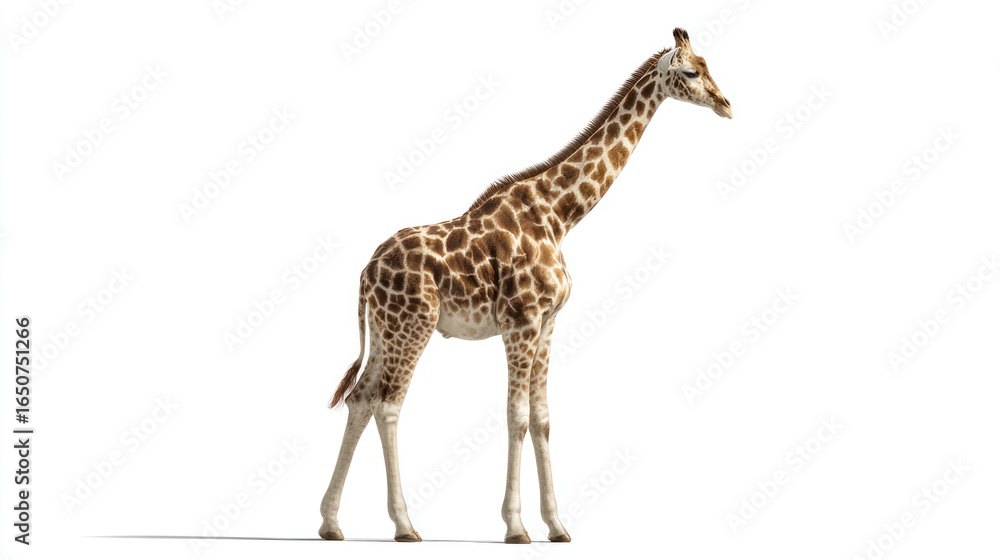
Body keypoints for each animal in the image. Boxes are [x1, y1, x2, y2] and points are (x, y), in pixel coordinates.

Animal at [318, 28, 731, 544]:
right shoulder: (521, 321)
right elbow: (515, 416)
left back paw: (331, 523)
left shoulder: (548, 323)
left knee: (359, 398)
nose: (726, 104)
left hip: (385, 329)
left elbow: (542, 419)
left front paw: (556, 525)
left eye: (710, 66)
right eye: (692, 71)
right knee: (388, 404)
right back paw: (405, 525)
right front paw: (516, 527)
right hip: (413, 326)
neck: (559, 215)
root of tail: (365, 273)